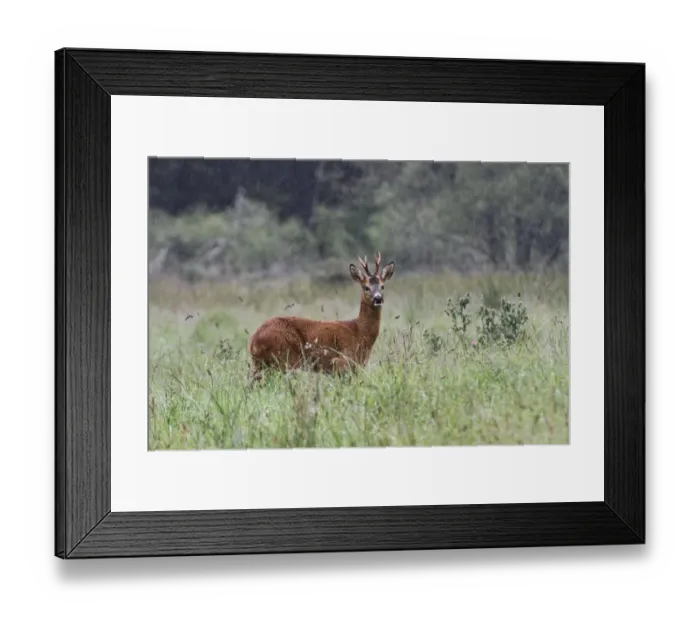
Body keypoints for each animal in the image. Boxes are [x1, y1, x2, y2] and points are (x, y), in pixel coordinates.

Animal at [247, 251, 395, 382]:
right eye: (366, 287)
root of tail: (253, 341)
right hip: (286, 358)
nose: (378, 299)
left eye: (382, 286)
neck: (359, 332)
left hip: (260, 364)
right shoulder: (342, 362)